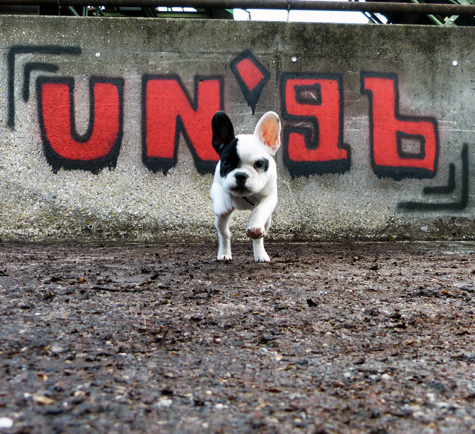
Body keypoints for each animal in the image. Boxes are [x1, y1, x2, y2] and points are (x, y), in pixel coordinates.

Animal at [210, 111, 281, 262]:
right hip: (220, 221)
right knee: (225, 234)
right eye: (226, 162)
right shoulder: (217, 182)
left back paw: (260, 253)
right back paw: (224, 253)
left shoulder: (269, 197)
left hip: (267, 221)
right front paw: (222, 203)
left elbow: (260, 209)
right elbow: (221, 190)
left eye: (259, 164)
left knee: (259, 237)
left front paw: (254, 226)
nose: (241, 175)